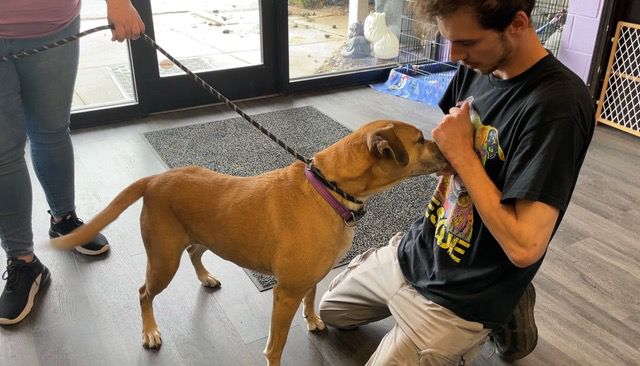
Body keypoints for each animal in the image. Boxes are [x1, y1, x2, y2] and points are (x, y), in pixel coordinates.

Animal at [50, 120, 448, 366]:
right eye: (419, 140)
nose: (446, 148)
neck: (329, 189)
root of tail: (155, 179)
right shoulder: (284, 293)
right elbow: (277, 343)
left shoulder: (310, 278)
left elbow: (311, 299)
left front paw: (313, 320)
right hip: (163, 261)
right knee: (144, 293)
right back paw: (149, 332)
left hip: (205, 237)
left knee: (195, 252)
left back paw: (206, 277)